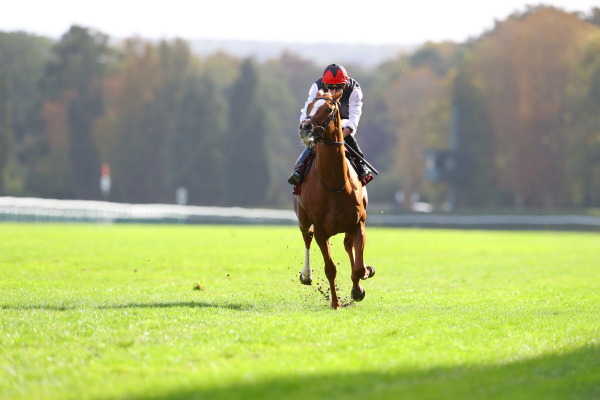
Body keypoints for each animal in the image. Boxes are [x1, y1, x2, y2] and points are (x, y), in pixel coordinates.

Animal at [292, 90, 372, 310]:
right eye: (310, 106)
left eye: (328, 109)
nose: (305, 127)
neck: (335, 184)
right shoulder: (321, 229)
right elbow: (330, 268)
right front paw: (335, 303)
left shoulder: (358, 223)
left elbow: (359, 267)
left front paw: (359, 288)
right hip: (303, 218)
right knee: (307, 236)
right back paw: (306, 275)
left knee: (348, 246)